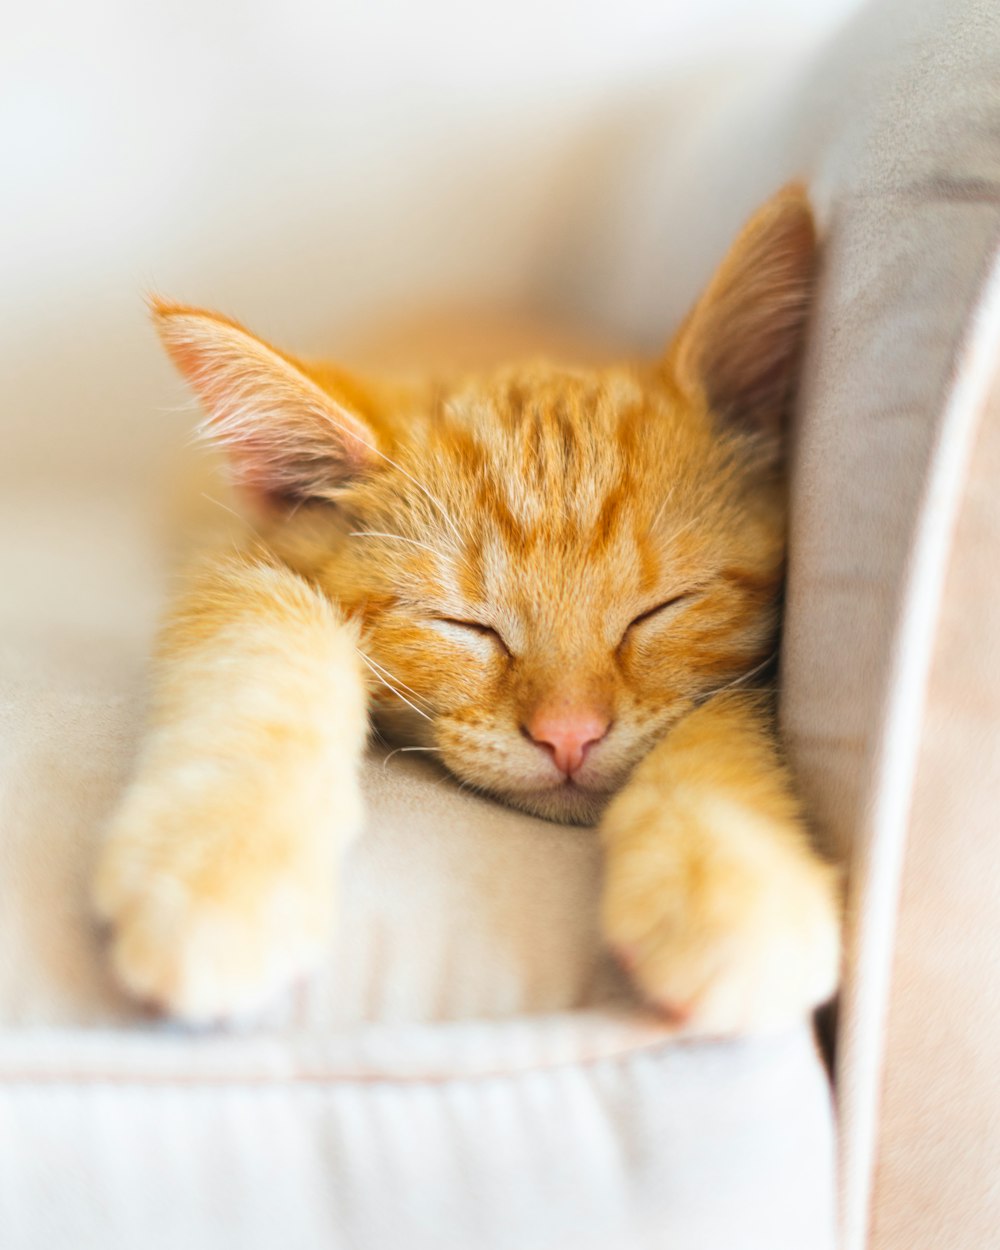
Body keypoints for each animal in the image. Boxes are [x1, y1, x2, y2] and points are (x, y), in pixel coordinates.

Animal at [93, 181, 845, 1030]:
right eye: (465, 626)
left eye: (660, 609)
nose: (568, 736)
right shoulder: (234, 552)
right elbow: (262, 639)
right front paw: (218, 868)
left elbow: (725, 713)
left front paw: (727, 877)